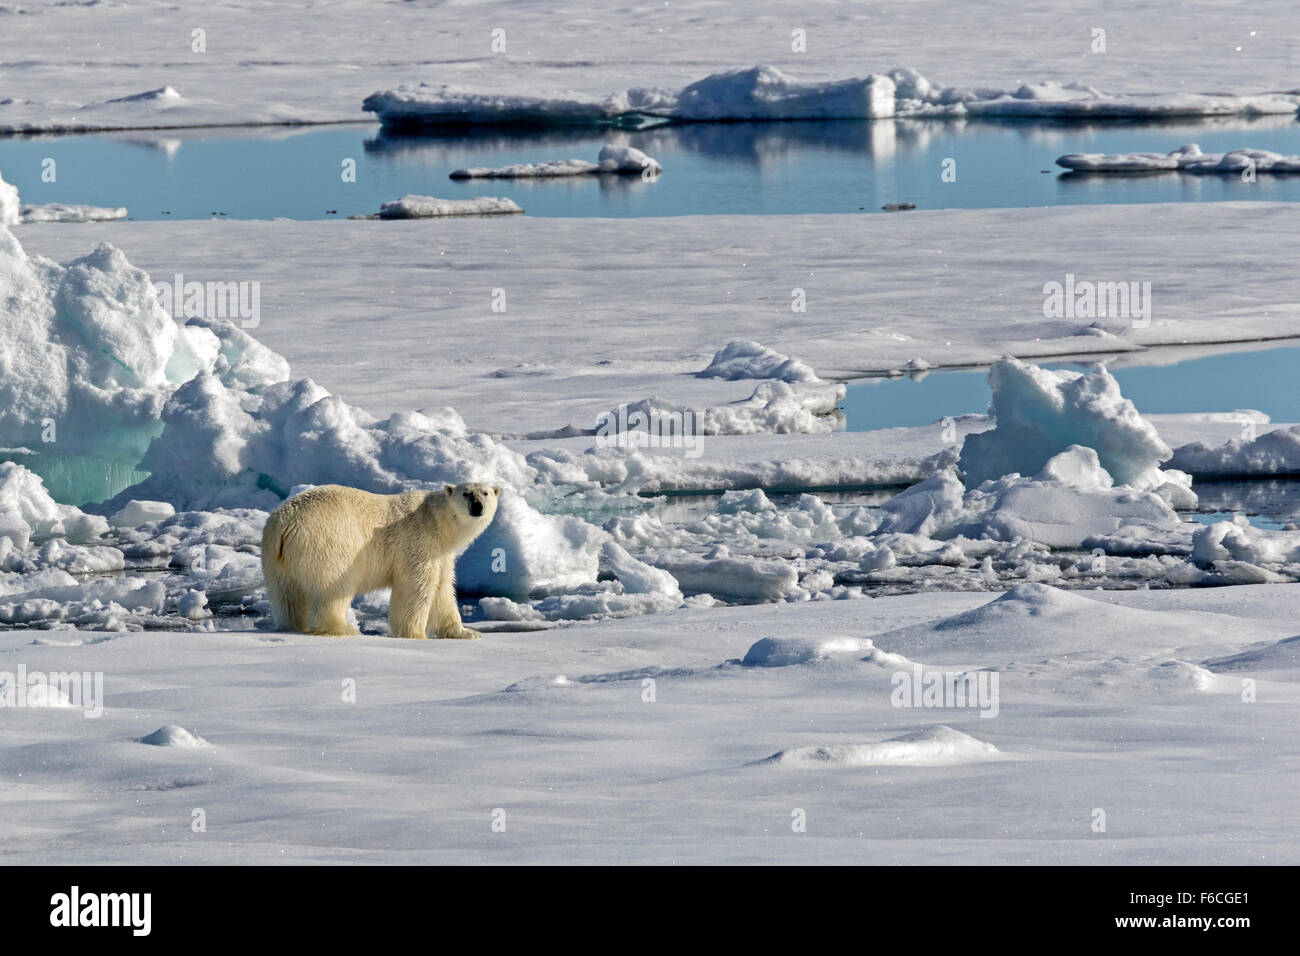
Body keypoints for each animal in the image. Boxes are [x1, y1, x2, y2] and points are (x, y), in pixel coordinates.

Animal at [258, 481, 496, 639]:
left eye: (485, 492)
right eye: (466, 493)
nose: (478, 505)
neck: (436, 522)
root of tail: (284, 522)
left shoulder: (441, 554)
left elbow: (442, 590)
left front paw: (466, 632)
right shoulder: (418, 543)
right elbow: (416, 588)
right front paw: (415, 634)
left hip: (275, 558)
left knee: (286, 594)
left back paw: (291, 626)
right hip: (326, 542)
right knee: (333, 588)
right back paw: (344, 629)